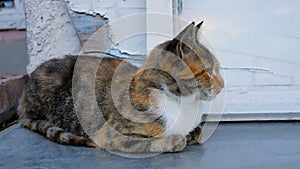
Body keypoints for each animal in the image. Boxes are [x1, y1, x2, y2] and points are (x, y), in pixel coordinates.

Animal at [17, 21, 224, 153]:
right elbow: (161, 141)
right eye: (208, 70)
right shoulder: (111, 134)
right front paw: (176, 140)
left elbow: (198, 132)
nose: (223, 85)